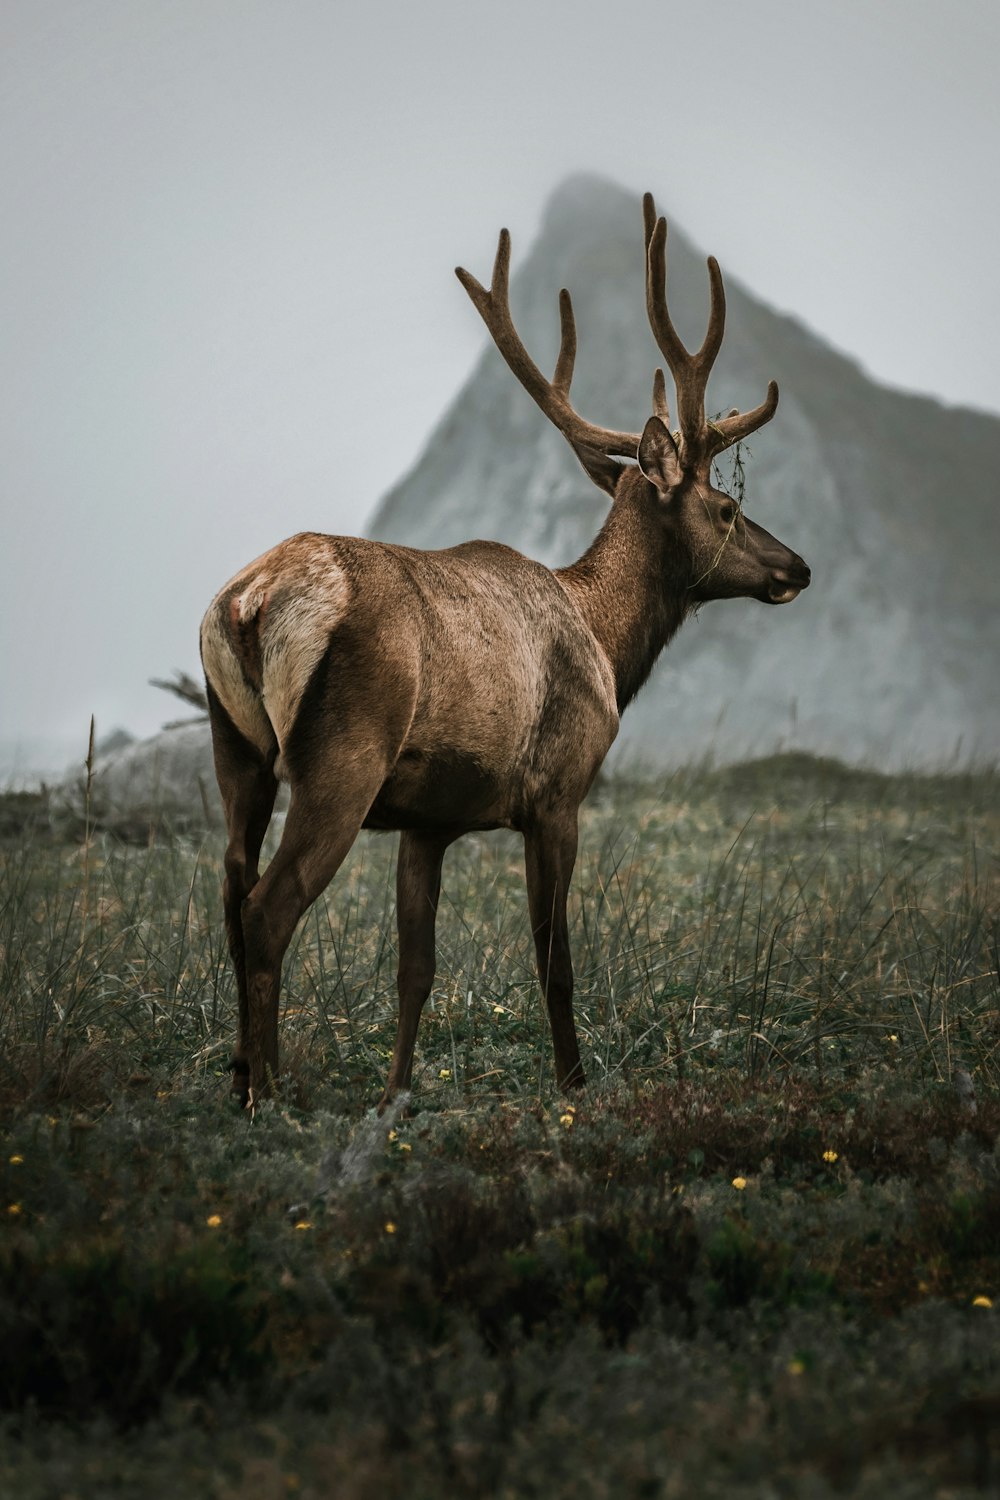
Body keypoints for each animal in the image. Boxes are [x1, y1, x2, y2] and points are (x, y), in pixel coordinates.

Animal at [199, 190, 809, 1116]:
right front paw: (574, 1086)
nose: (797, 566)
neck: (608, 646)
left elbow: (416, 969)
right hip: (341, 756)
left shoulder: (429, 820)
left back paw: (238, 1075)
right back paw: (267, 1096)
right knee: (269, 908)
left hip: (235, 747)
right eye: (729, 509)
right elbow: (554, 959)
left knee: (232, 894)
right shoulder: (558, 791)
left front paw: (397, 1094)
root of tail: (248, 601)